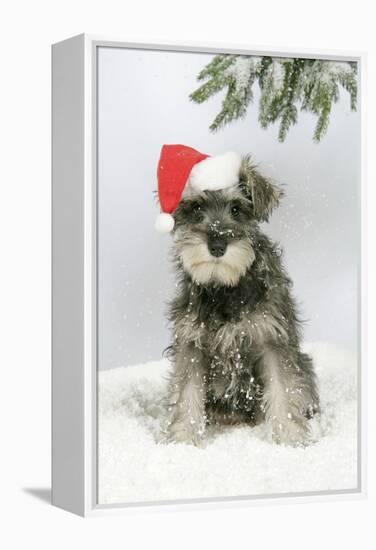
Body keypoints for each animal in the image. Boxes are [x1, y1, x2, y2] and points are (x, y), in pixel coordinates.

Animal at [163, 155, 318, 448]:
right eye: (196, 207)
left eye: (236, 209)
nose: (217, 246)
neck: (224, 287)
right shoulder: (191, 344)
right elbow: (187, 394)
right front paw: (184, 438)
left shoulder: (272, 339)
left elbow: (284, 389)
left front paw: (290, 438)